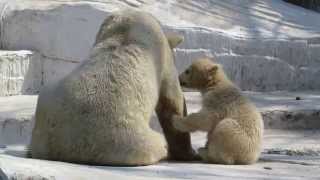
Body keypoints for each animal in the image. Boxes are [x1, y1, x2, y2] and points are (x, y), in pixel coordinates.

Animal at [30, 9, 195, 165]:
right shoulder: (161, 55)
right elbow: (172, 102)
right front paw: (189, 154)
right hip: (130, 140)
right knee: (158, 142)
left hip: (46, 107)